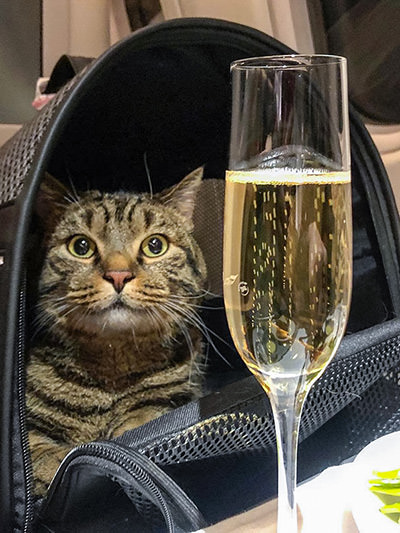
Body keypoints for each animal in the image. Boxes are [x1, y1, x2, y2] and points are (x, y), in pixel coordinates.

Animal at [26, 167, 206, 494]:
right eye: (81, 246)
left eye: (155, 245)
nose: (118, 275)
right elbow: (43, 455)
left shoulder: (172, 397)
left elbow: (142, 424)